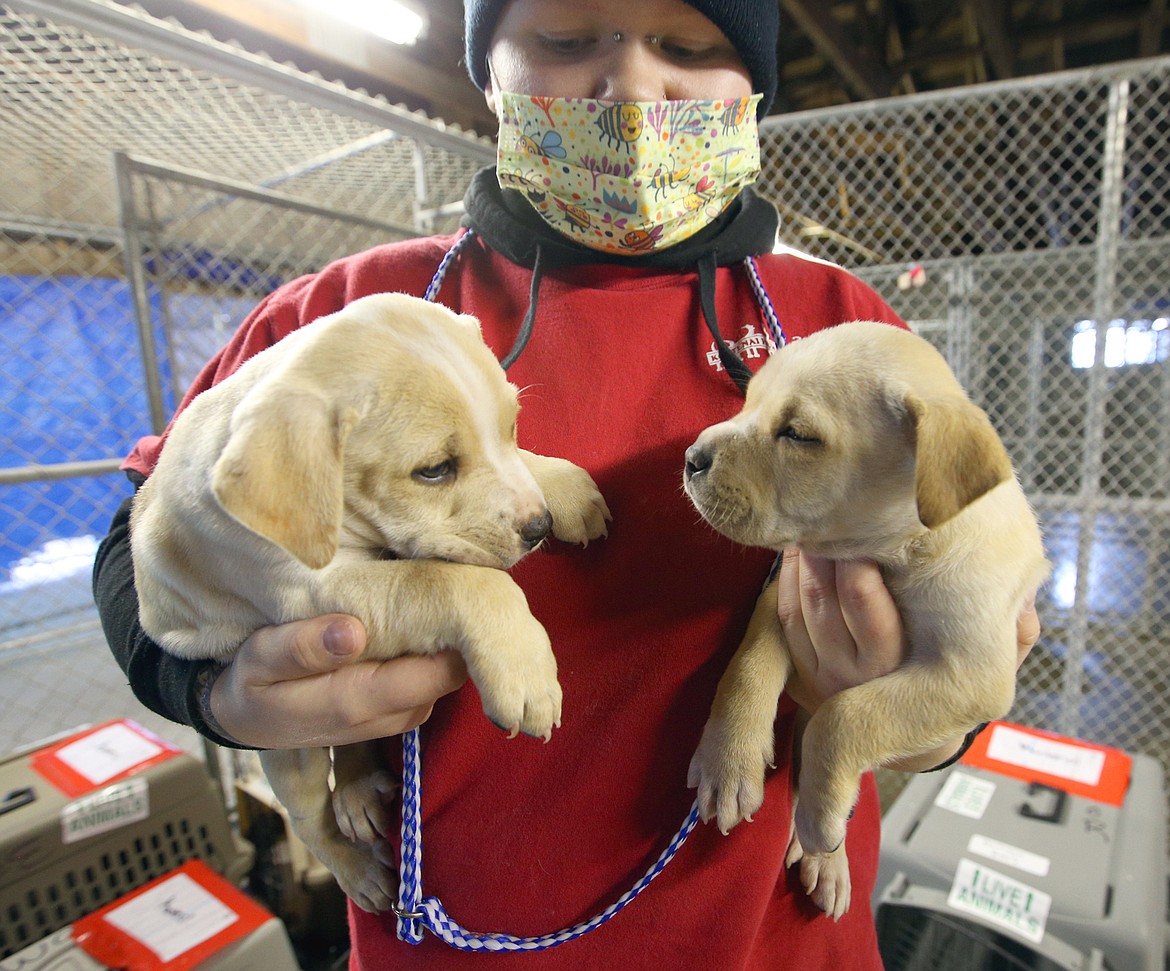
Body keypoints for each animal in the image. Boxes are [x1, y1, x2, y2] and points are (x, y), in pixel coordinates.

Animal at [131, 292, 613, 917]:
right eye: (433, 471)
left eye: (511, 426)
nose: (539, 527)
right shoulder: (315, 590)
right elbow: (457, 582)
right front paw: (526, 671)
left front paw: (565, 487)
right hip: (289, 753)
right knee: (311, 818)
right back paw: (359, 871)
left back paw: (361, 793)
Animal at [683, 322, 1048, 921]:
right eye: (748, 402)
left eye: (798, 435)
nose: (692, 457)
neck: (896, 554)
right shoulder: (779, 596)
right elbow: (747, 668)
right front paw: (728, 763)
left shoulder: (970, 675)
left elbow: (846, 715)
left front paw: (817, 821)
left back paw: (824, 852)